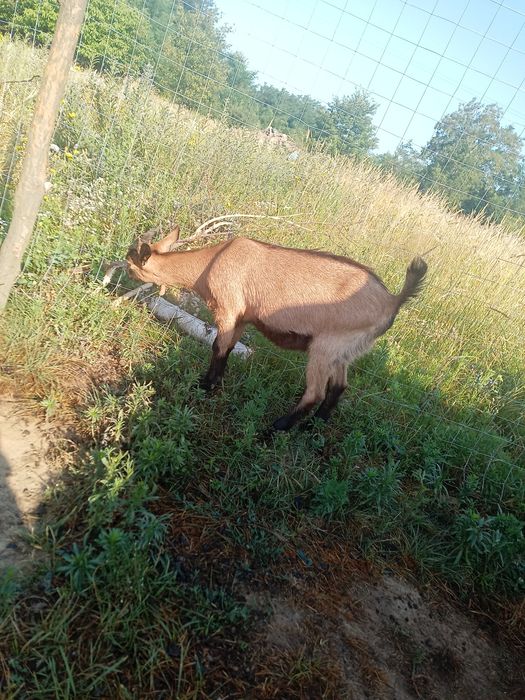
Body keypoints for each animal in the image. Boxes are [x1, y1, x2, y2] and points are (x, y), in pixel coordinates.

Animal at [126, 226, 427, 431]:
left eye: (130, 266)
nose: (123, 272)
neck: (209, 263)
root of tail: (393, 301)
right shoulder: (242, 318)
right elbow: (228, 348)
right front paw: (215, 382)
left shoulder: (228, 310)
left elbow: (218, 347)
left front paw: (205, 386)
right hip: (344, 351)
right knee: (339, 387)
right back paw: (313, 427)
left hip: (326, 346)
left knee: (315, 392)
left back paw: (276, 427)